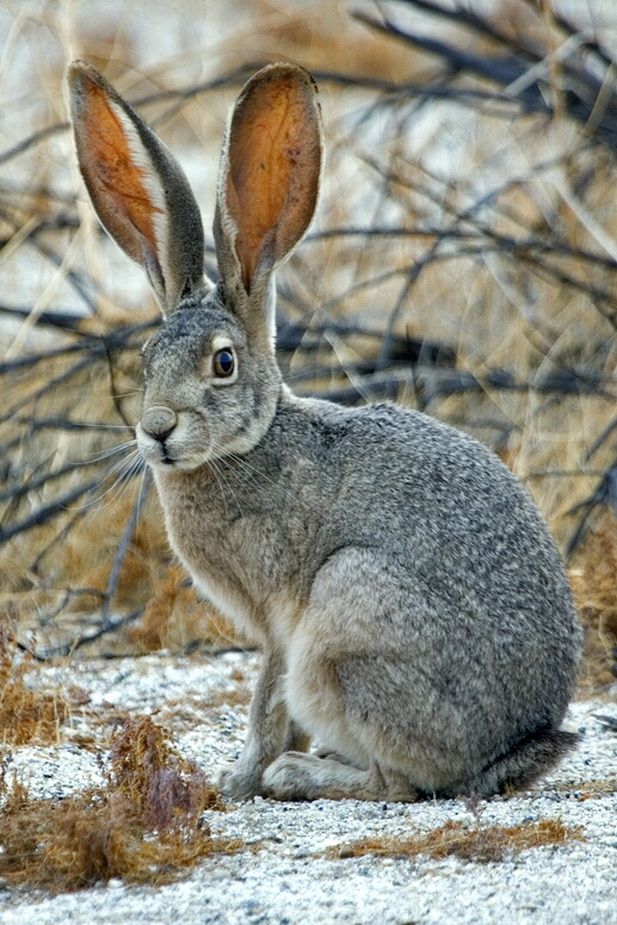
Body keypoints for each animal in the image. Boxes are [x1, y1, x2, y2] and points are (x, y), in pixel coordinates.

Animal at [68, 59, 584, 800]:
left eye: (223, 363)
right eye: (144, 360)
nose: (157, 430)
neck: (252, 442)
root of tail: (516, 745)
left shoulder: (278, 623)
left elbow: (266, 698)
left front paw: (239, 780)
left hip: (348, 613)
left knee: (399, 781)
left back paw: (299, 773)